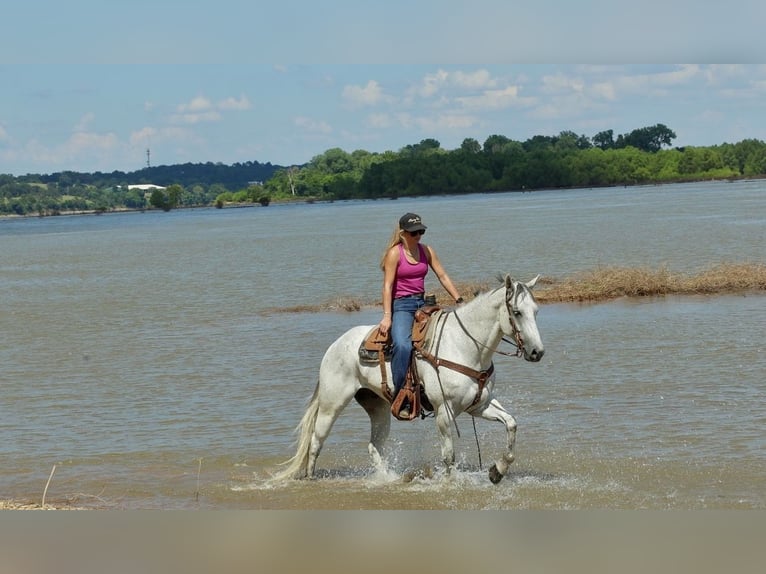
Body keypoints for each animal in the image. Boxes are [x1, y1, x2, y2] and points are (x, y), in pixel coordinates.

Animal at [274, 274, 544, 484]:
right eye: (517, 312)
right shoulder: (444, 411)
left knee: (374, 446)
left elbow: (511, 424)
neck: (465, 347)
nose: (537, 352)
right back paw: (311, 479)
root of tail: (335, 346)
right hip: (332, 404)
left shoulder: (479, 405)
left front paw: (497, 471)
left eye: (536, 312)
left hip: (378, 407)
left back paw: (388, 479)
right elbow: (449, 456)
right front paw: (451, 483)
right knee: (316, 441)